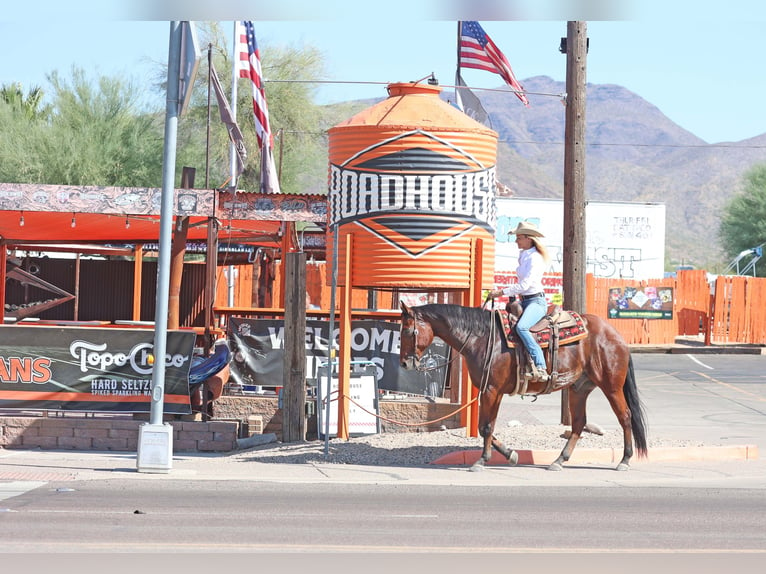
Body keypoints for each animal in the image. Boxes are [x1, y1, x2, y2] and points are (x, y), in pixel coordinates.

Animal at [400, 302, 652, 472]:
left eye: (408, 330)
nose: (404, 363)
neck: (482, 337)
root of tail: (615, 334)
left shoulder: (492, 389)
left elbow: (485, 427)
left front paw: (482, 461)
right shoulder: (492, 391)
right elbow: (486, 426)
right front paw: (510, 454)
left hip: (611, 386)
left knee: (625, 417)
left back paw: (624, 460)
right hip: (579, 388)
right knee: (579, 423)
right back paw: (559, 461)